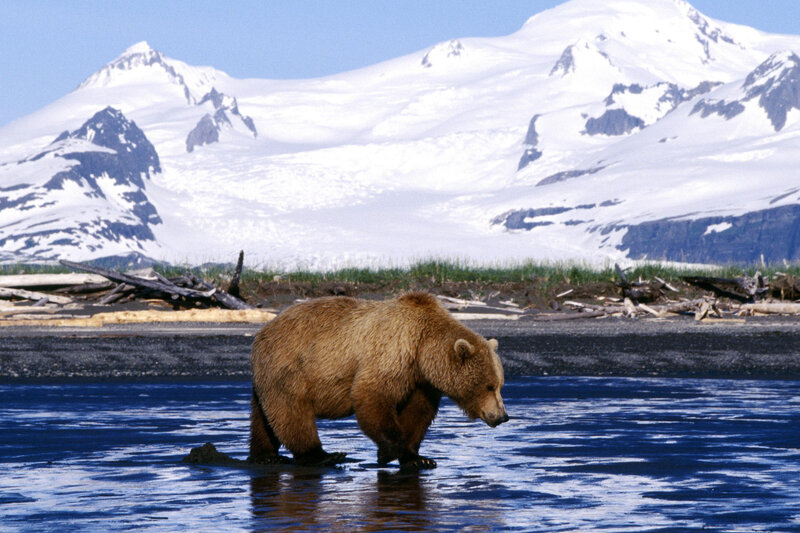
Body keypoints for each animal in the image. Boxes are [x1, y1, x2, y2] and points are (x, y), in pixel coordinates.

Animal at [249, 292, 508, 470]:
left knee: (264, 416)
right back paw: (322, 455)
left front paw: (418, 458)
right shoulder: (393, 353)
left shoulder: (421, 381)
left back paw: (266, 455)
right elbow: (372, 395)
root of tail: (262, 332)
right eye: (489, 386)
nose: (502, 416)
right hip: (291, 366)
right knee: (292, 411)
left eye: (500, 385)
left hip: (269, 375)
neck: (422, 348)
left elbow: (418, 413)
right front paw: (389, 451)